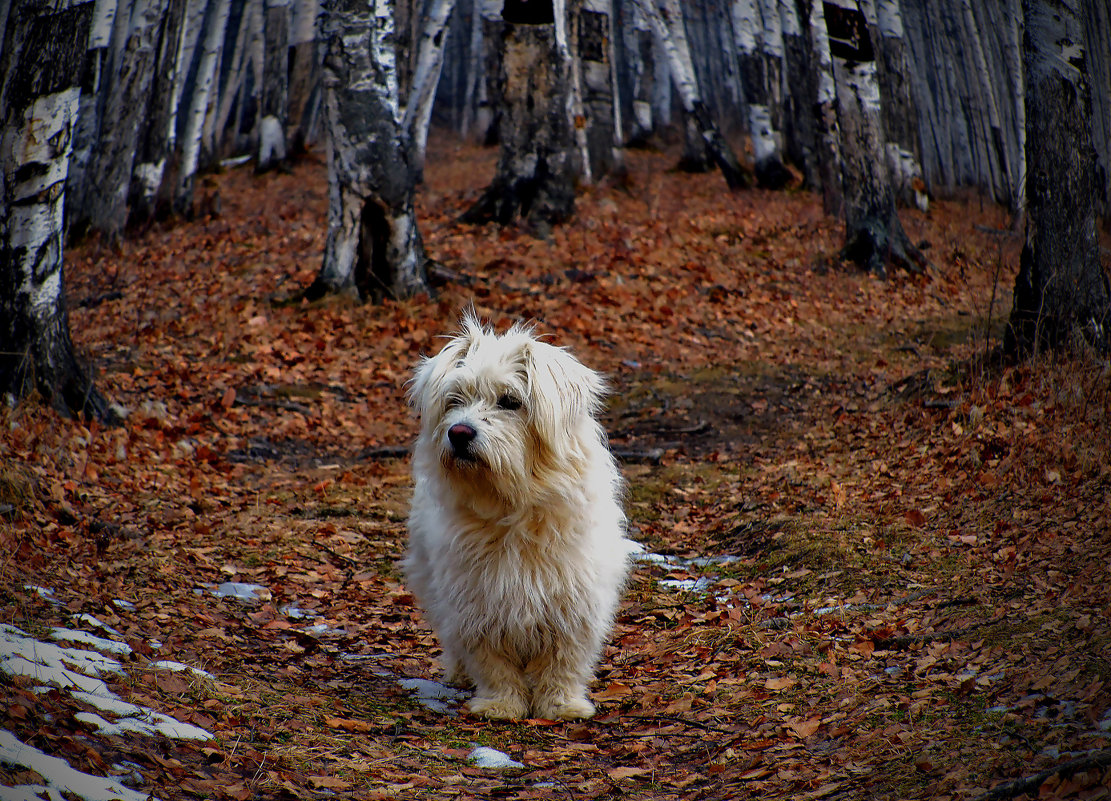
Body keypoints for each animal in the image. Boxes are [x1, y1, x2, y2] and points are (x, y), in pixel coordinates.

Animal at [406, 313, 635, 719]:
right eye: (454, 400)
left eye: (510, 401)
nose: (459, 433)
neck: (511, 506)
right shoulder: (476, 603)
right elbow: (492, 662)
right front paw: (500, 704)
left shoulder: (574, 601)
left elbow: (564, 660)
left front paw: (561, 705)